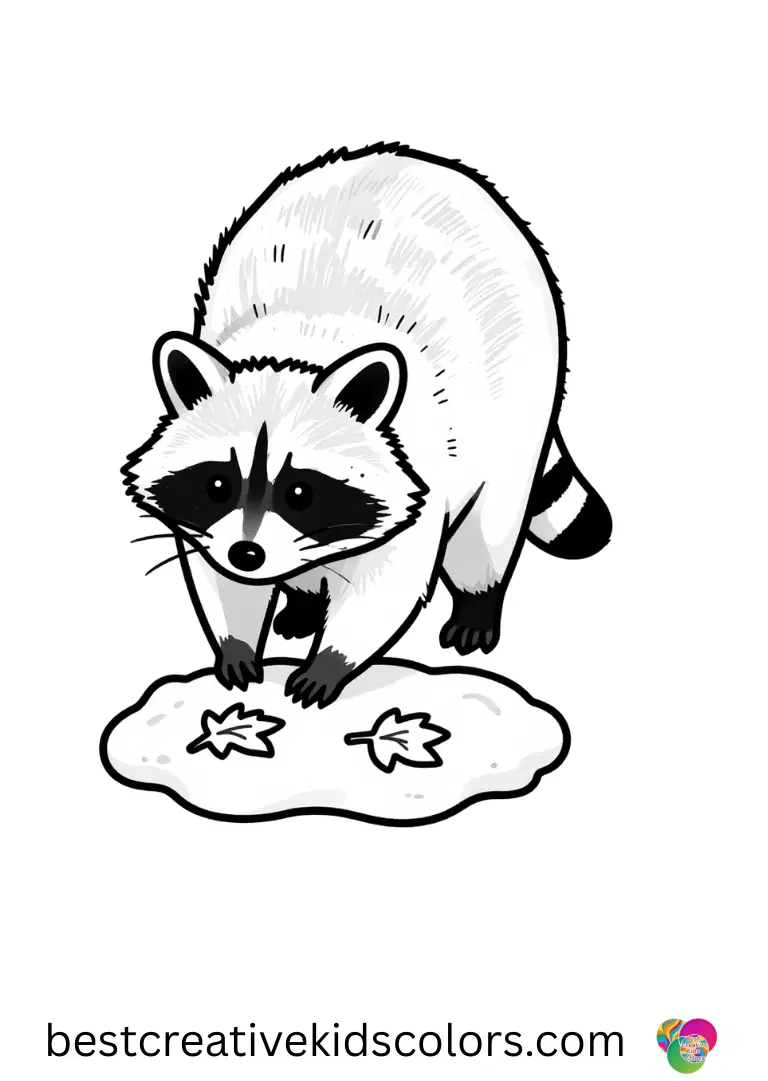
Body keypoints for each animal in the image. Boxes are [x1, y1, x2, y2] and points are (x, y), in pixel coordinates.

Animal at [124, 143, 611, 708]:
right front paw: (237, 642)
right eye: (218, 484)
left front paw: (331, 663)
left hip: (518, 399)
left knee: (488, 524)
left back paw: (477, 599)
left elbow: (387, 583)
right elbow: (217, 573)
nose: (248, 553)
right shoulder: (209, 526)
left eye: (300, 492)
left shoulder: (423, 462)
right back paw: (302, 604)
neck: (298, 353)